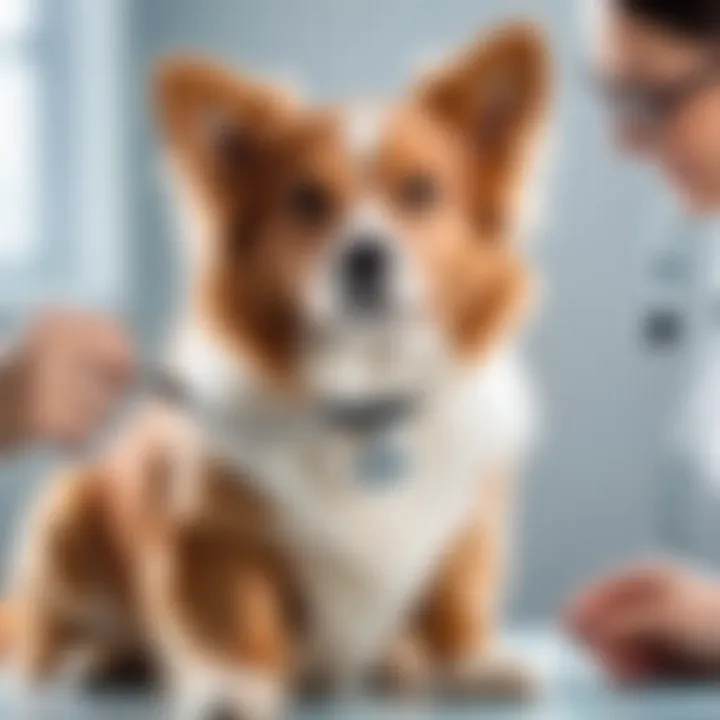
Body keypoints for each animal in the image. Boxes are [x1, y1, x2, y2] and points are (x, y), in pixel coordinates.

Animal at [1, 22, 552, 720]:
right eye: (306, 200)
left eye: (421, 192)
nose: (364, 256)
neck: (362, 397)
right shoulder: (209, 531)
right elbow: (232, 618)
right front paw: (231, 690)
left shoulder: (470, 516)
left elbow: (455, 597)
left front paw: (470, 661)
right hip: (68, 515)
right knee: (54, 639)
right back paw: (100, 660)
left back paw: (397, 662)